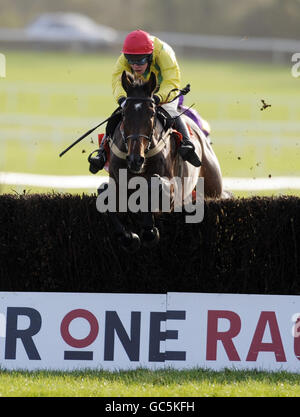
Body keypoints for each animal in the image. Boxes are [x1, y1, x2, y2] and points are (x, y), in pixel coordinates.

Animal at [97, 70, 226, 252]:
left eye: (151, 113)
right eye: (124, 114)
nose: (135, 160)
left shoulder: (172, 194)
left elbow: (153, 187)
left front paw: (149, 232)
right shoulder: (118, 182)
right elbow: (104, 194)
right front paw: (129, 238)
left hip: (212, 188)